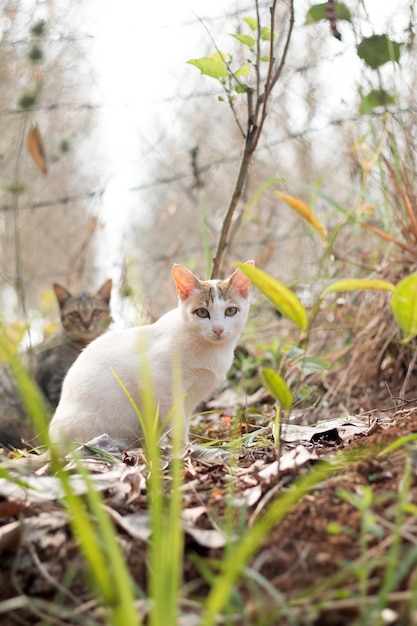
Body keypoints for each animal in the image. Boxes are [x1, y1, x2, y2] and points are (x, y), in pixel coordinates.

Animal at [47, 260, 252, 450]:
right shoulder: (160, 386)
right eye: (202, 312)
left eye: (230, 311)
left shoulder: (190, 398)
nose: (218, 330)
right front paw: (183, 449)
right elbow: (175, 422)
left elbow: (183, 422)